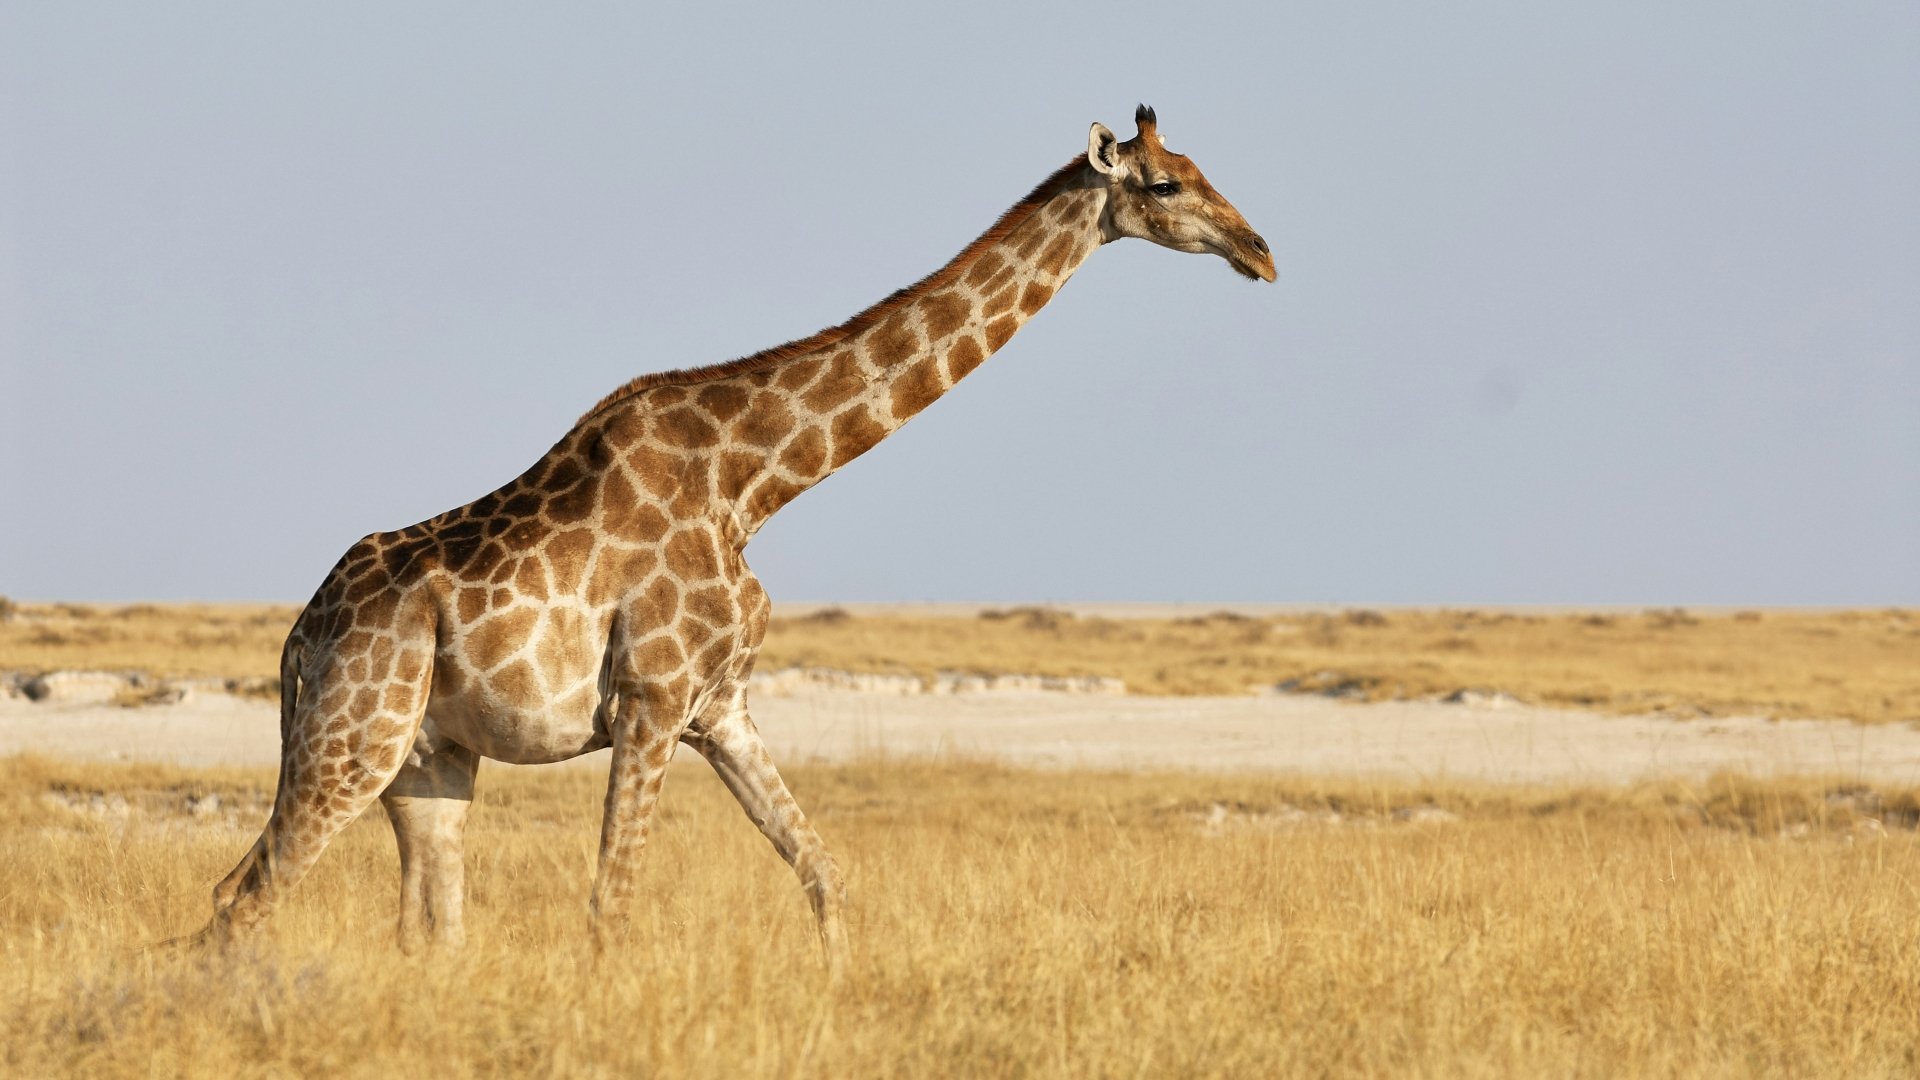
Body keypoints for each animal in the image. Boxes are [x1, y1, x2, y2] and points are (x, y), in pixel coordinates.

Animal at [202, 102, 1274, 957]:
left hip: (428, 763)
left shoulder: (722, 706)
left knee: (421, 924)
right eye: (1168, 183)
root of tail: (299, 638)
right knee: (240, 899)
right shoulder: (652, 698)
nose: (1260, 250)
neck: (754, 483)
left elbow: (826, 875)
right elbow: (612, 906)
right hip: (356, 736)